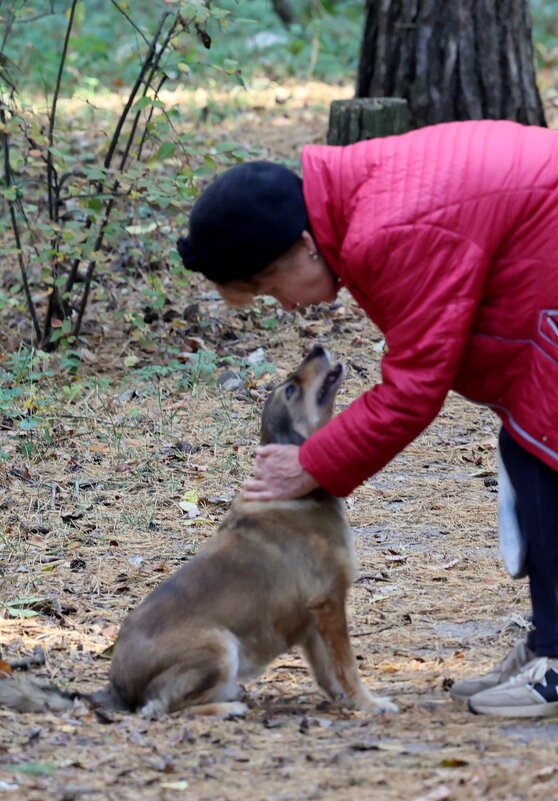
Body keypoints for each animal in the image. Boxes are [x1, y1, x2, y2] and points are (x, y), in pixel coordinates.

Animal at [0, 344, 398, 712]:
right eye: (290, 390)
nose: (316, 347)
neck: (297, 495)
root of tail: (115, 691)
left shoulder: (312, 622)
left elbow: (328, 674)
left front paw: (347, 702)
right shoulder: (329, 605)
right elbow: (347, 667)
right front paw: (369, 704)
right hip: (218, 645)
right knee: (161, 708)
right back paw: (227, 707)